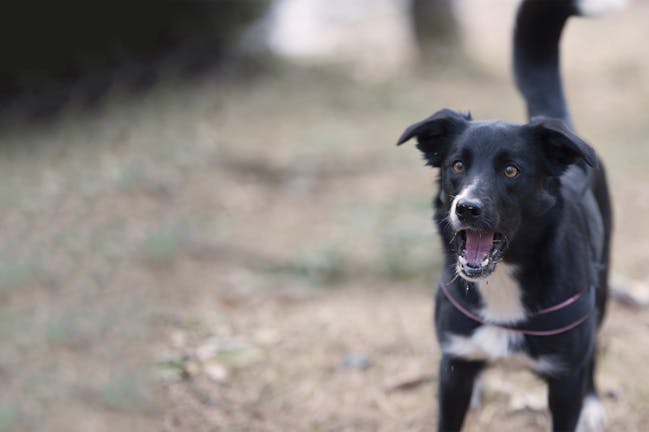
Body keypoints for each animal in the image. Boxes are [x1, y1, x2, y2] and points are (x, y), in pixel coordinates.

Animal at [392, 0, 616, 432]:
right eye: (457, 165)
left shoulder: (564, 382)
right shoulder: (453, 371)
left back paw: (594, 404)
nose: (466, 208)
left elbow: (577, 376)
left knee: (595, 351)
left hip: (602, 289)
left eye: (511, 171)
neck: (503, 283)